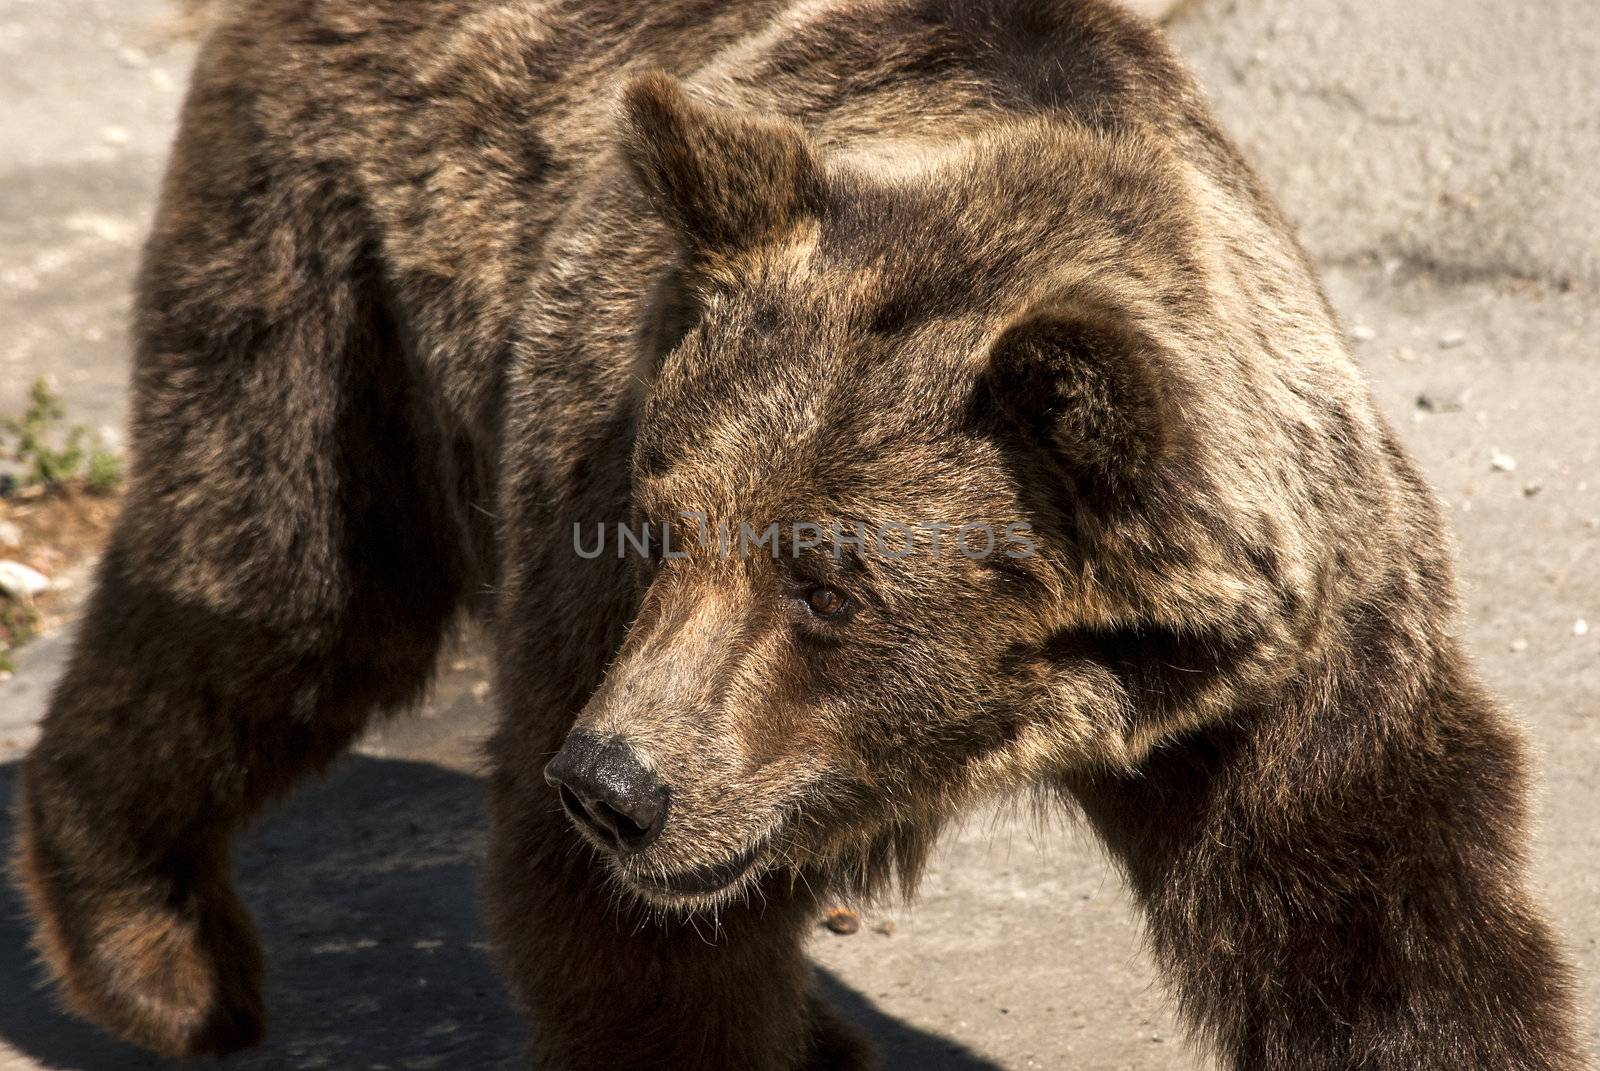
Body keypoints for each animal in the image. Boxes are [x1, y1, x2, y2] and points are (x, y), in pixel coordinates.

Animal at [9, 0, 1587, 1062]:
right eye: (659, 525)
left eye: (828, 581)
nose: (612, 783)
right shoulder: (591, 502)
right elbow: (631, 950)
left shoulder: (1295, 666)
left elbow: (1378, 927)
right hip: (337, 271)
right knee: (277, 590)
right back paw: (158, 959)